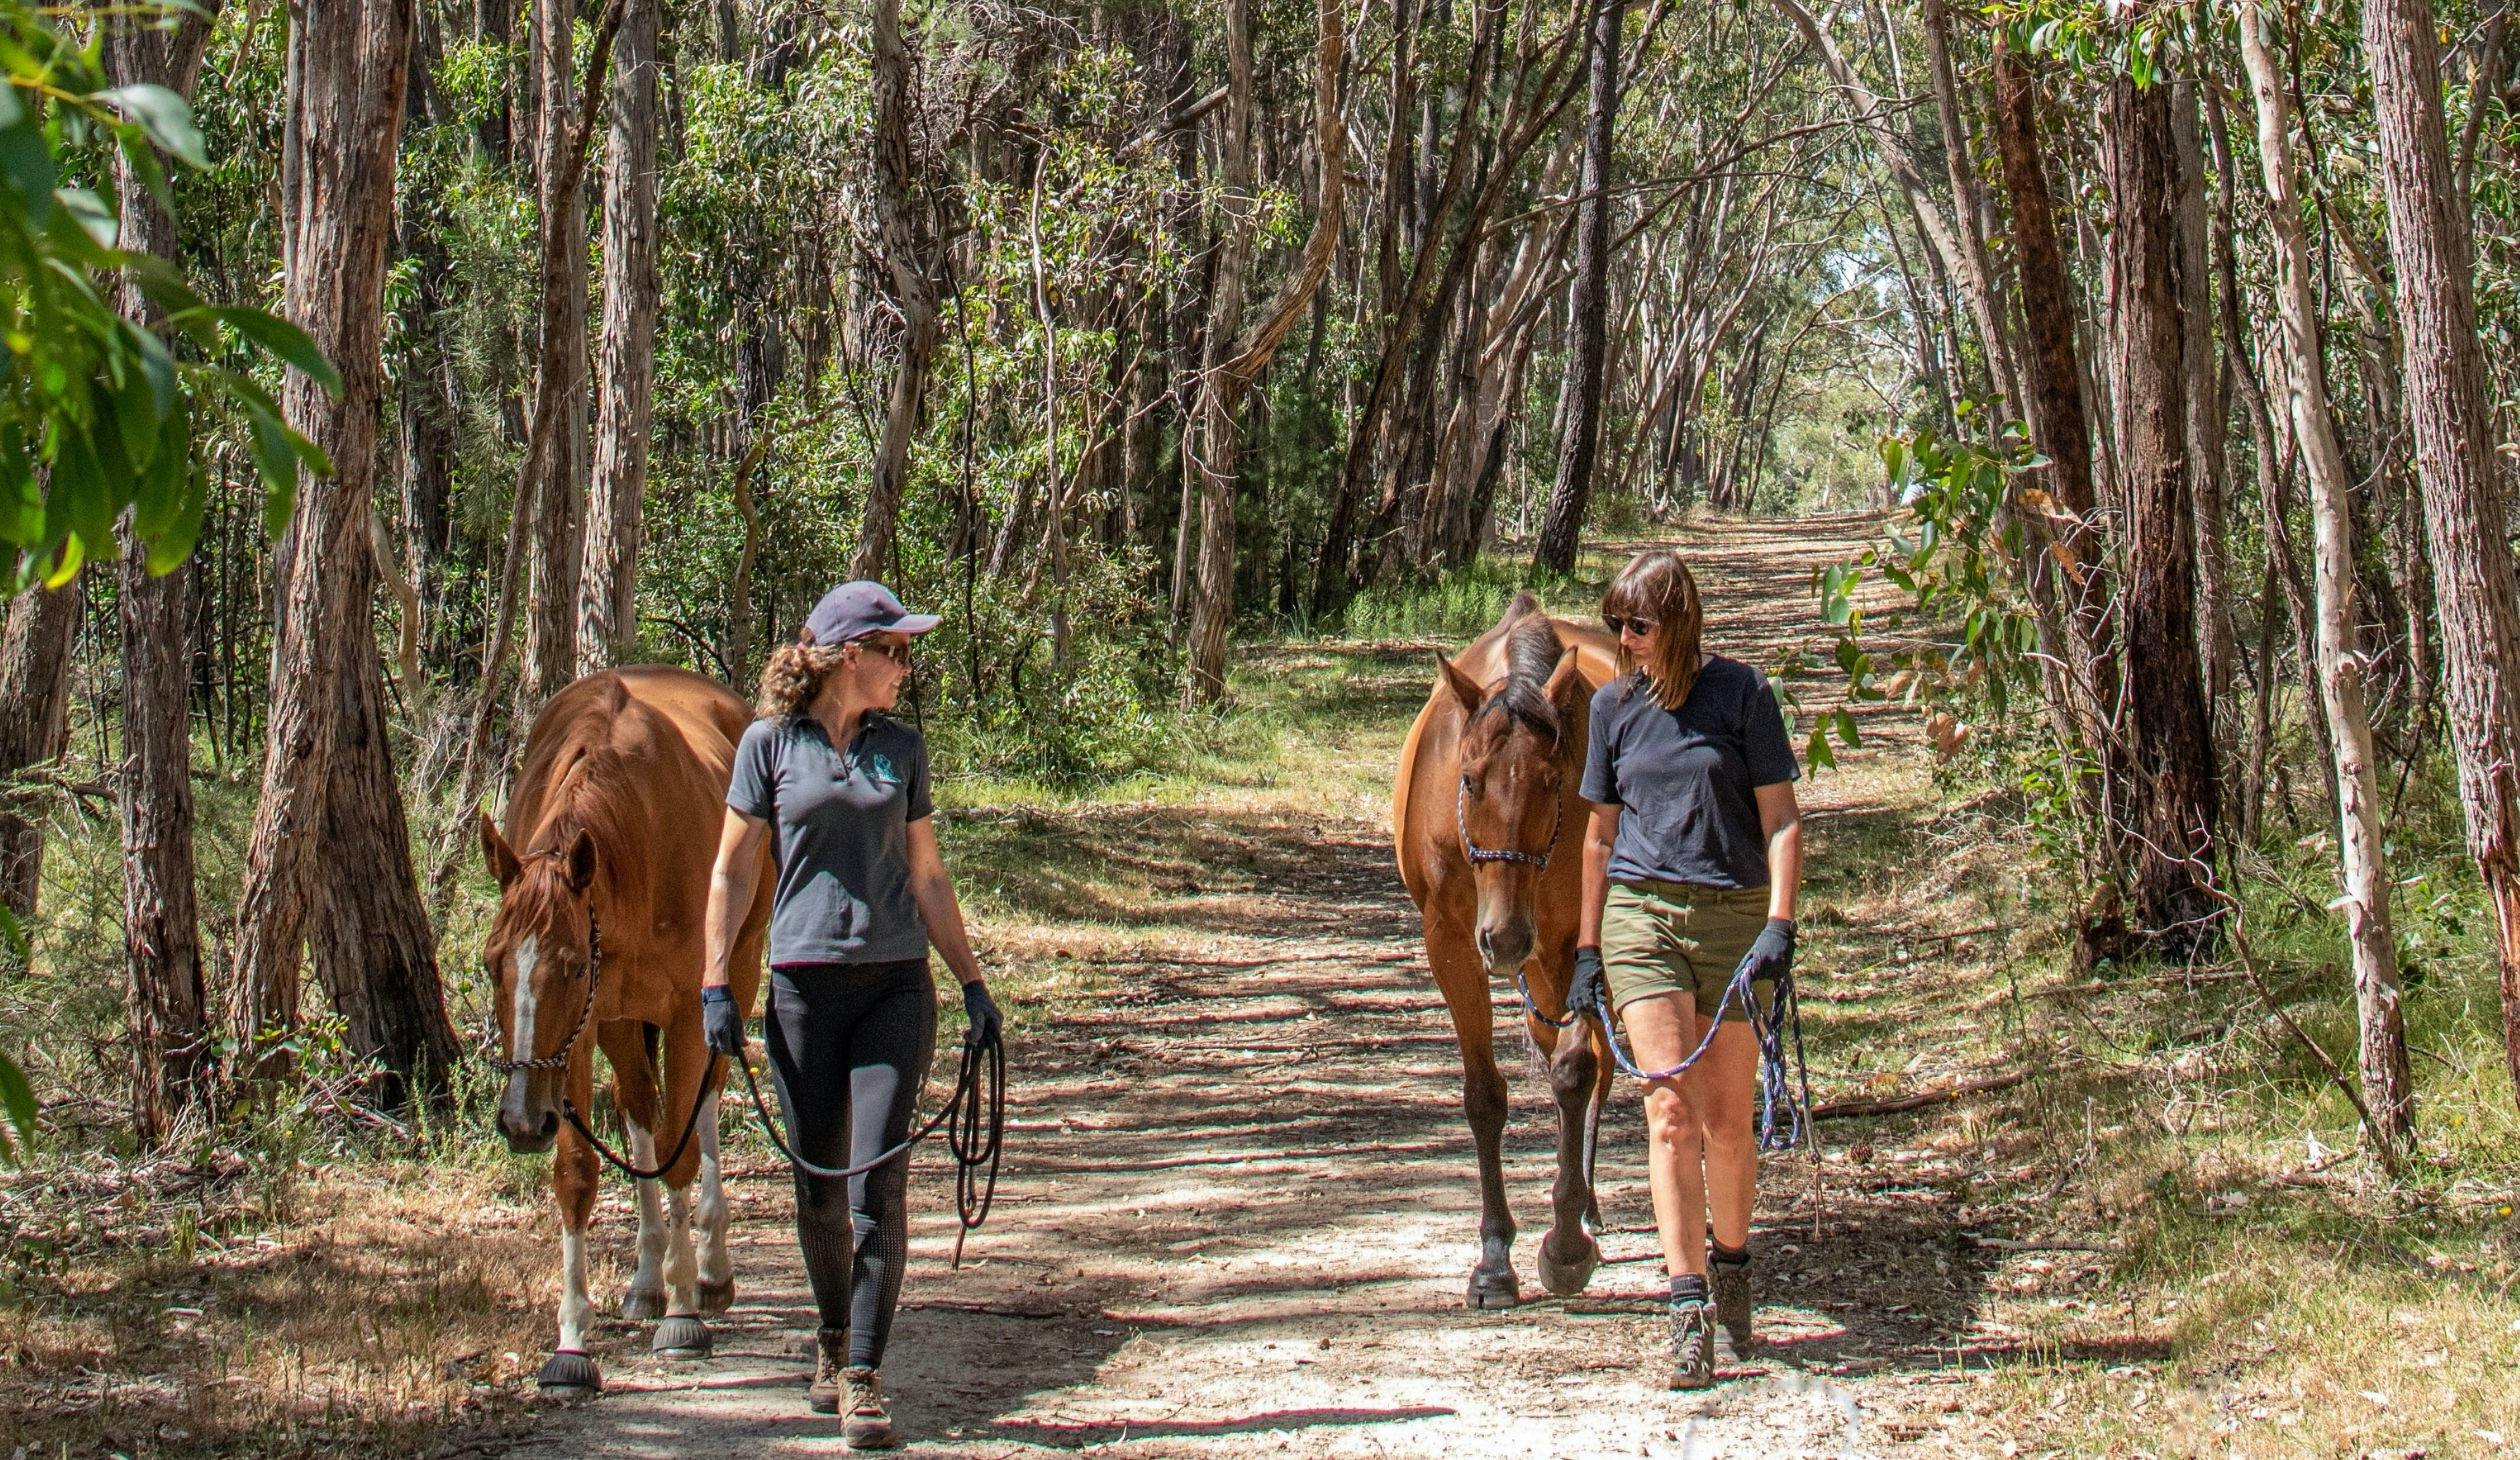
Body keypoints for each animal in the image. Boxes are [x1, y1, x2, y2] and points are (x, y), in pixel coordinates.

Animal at [478, 665, 772, 1394]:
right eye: (493, 963)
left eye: (571, 964)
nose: (520, 1121)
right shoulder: (578, 1034)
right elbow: (579, 1172)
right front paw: (572, 1341)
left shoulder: (688, 1010)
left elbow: (682, 1149)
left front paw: (686, 1312)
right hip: (616, 1022)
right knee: (640, 1111)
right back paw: (645, 1281)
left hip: (737, 972)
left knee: (706, 1101)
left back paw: (710, 1268)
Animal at [1393, 593, 1622, 1308]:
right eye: (1468, 780)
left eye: (1554, 783)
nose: (1506, 937)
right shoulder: (1451, 945)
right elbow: (1484, 1097)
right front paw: (1494, 1259)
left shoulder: (1577, 941)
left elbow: (1576, 1071)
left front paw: (1566, 1246)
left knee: (1596, 1063)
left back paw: (1584, 1209)